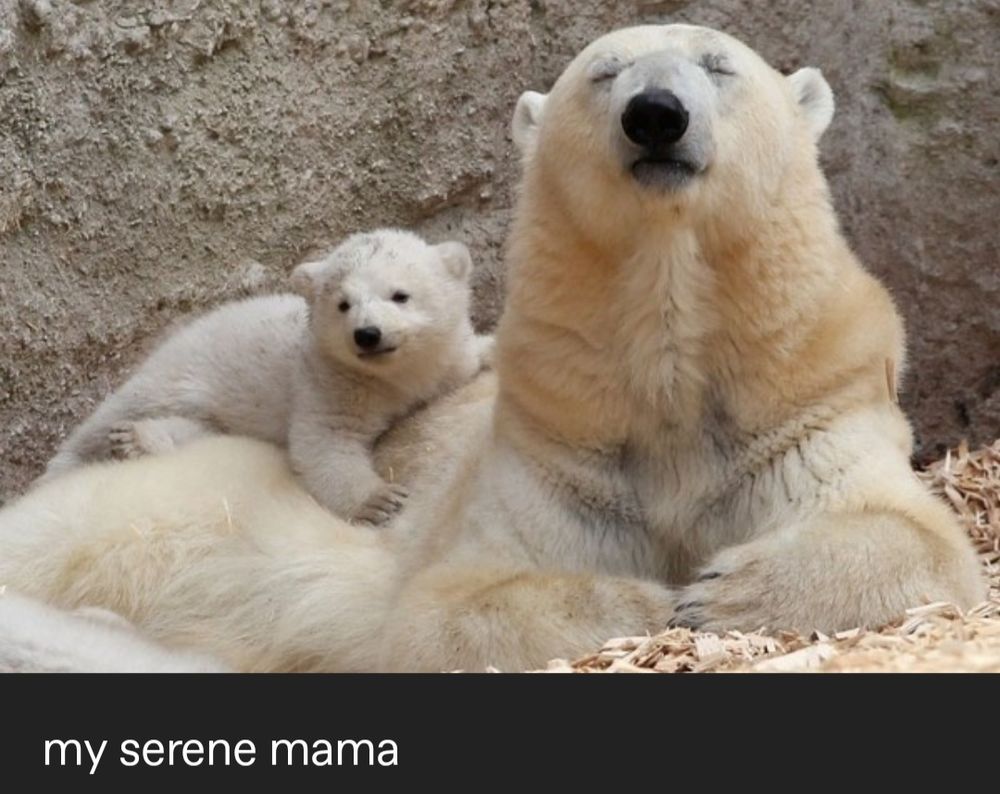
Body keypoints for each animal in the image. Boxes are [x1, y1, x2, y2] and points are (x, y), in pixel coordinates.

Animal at [42, 229, 494, 526]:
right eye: (343, 304)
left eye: (400, 294)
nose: (367, 334)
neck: (396, 378)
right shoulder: (330, 381)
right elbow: (325, 443)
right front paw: (381, 499)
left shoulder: (448, 362)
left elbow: (471, 357)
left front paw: (494, 352)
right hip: (179, 374)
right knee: (106, 422)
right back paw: (113, 445)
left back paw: (137, 441)